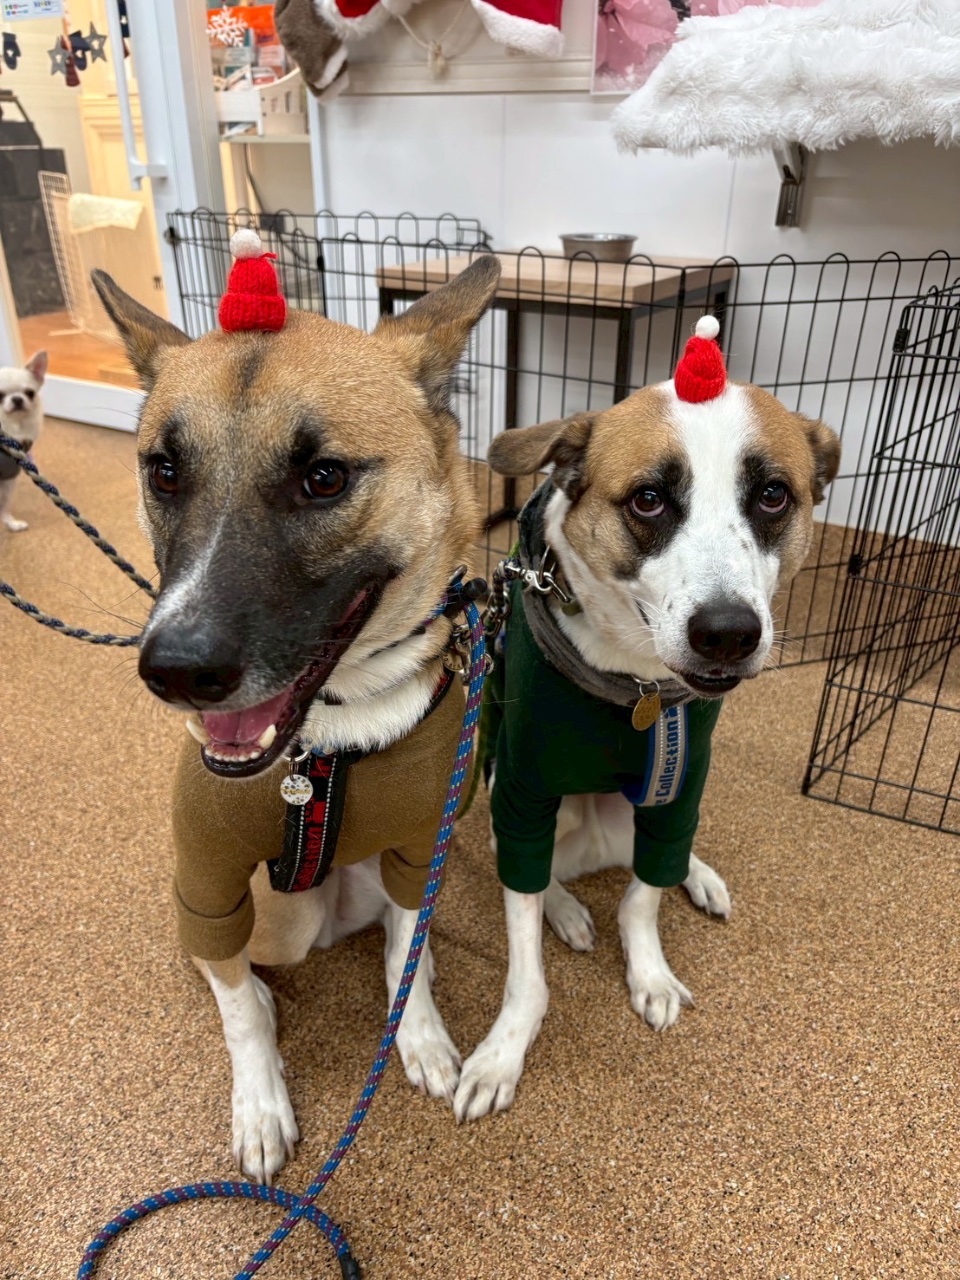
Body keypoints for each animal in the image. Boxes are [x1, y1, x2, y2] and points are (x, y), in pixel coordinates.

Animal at [91, 243, 500, 1182]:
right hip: (275, 917)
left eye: (323, 478)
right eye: (164, 470)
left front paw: (418, 1034)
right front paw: (260, 1098)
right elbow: (239, 1005)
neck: (327, 746)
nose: (176, 671)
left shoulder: (418, 844)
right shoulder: (208, 872)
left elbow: (406, 950)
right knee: (235, 964)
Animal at [453, 317, 840, 1122]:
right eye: (650, 499)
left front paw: (651, 971)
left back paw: (696, 875)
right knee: (534, 872)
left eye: (774, 495)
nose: (727, 633)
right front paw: (505, 1048)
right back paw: (567, 910)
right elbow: (524, 947)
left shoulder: (679, 789)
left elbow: (643, 897)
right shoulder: (524, 790)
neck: (636, 687)